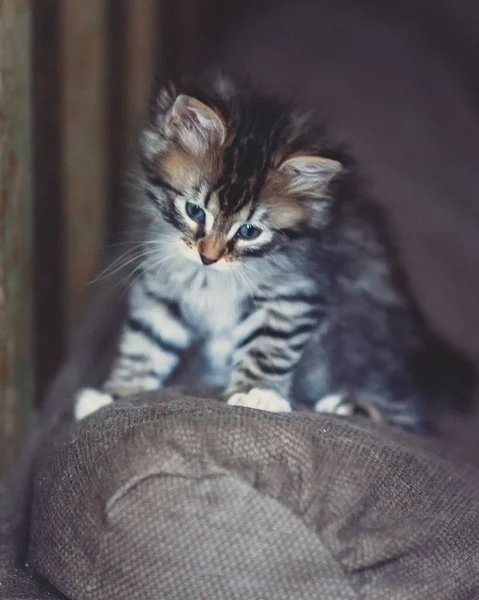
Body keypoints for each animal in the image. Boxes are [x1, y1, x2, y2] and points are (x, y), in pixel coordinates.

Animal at [76, 72, 476, 434]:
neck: (213, 279)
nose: (209, 256)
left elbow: (268, 345)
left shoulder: (292, 293)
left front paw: (255, 392)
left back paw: (349, 406)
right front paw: (117, 393)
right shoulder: (163, 286)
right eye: (194, 212)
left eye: (249, 231)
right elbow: (146, 341)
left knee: (407, 417)